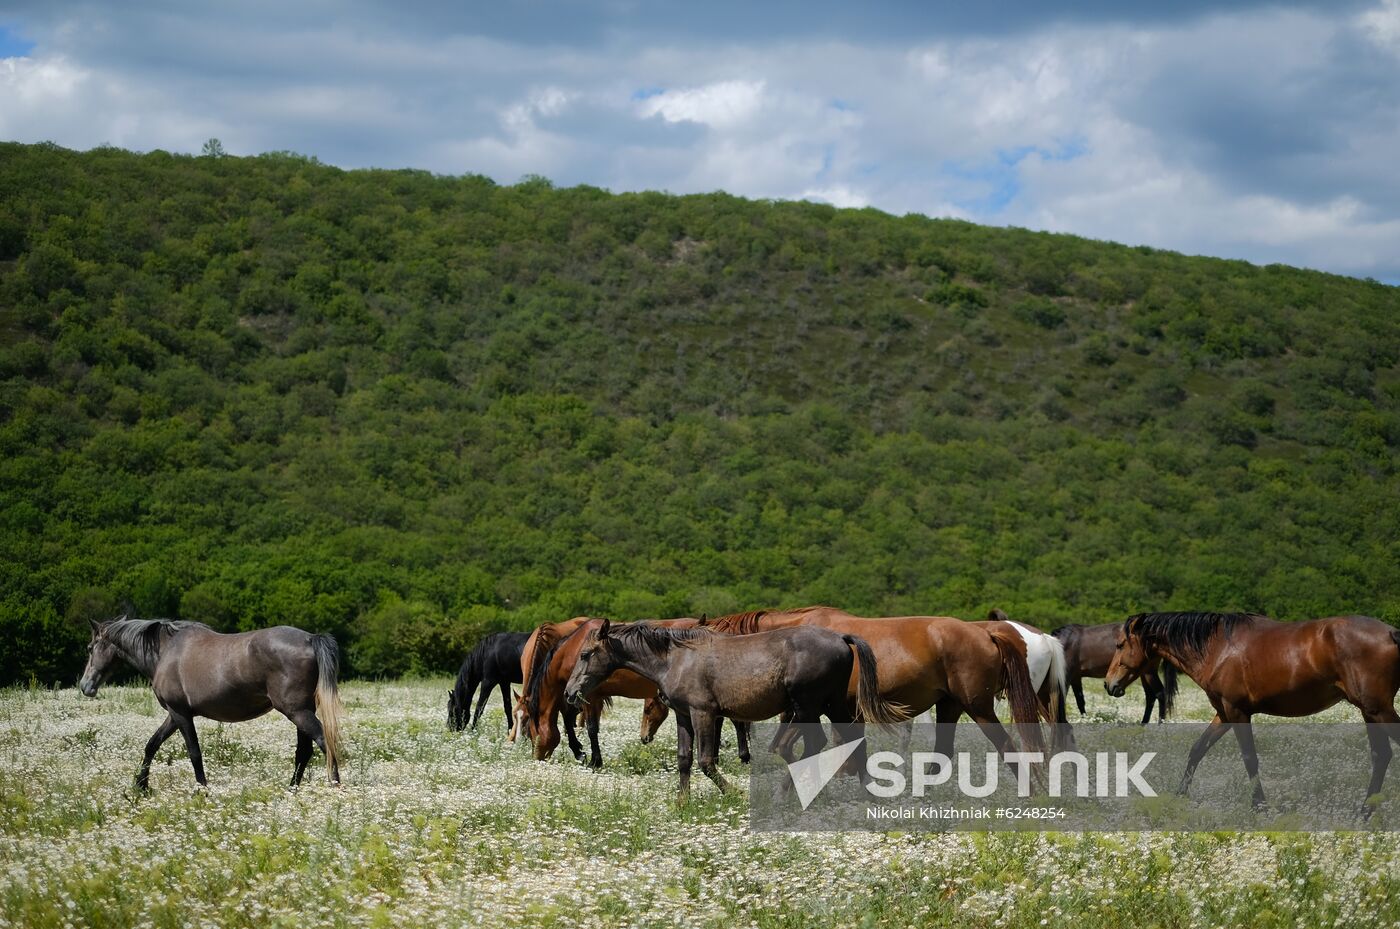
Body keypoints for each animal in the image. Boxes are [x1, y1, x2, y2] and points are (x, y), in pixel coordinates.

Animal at [80, 612, 347, 789]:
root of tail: (311, 638)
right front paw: (141, 786)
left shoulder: (180, 714)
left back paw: (335, 787)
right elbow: (152, 745)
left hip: (297, 712)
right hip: (302, 711)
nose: (85, 686)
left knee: (324, 742)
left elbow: (194, 753)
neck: (166, 651)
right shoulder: (175, 715)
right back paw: (292, 789)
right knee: (304, 752)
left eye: (90, 647)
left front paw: (202, 790)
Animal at [560, 615, 907, 800]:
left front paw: (733, 793)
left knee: (813, 745)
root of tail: (841, 638)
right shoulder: (684, 716)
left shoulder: (703, 713)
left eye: (586, 654)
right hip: (830, 705)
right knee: (852, 739)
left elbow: (706, 761)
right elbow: (684, 759)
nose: (570, 692)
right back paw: (863, 792)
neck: (675, 658)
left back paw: (785, 793)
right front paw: (682, 802)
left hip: (808, 707)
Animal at [1103, 610, 1400, 805]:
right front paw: (1178, 796)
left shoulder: (1238, 712)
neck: (1217, 648)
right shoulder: (1224, 714)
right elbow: (1198, 749)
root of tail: (1390, 633)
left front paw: (1260, 805)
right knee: (1381, 755)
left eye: (1120, 644)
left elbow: (1249, 758)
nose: (1109, 684)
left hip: (1377, 710)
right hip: (1369, 712)